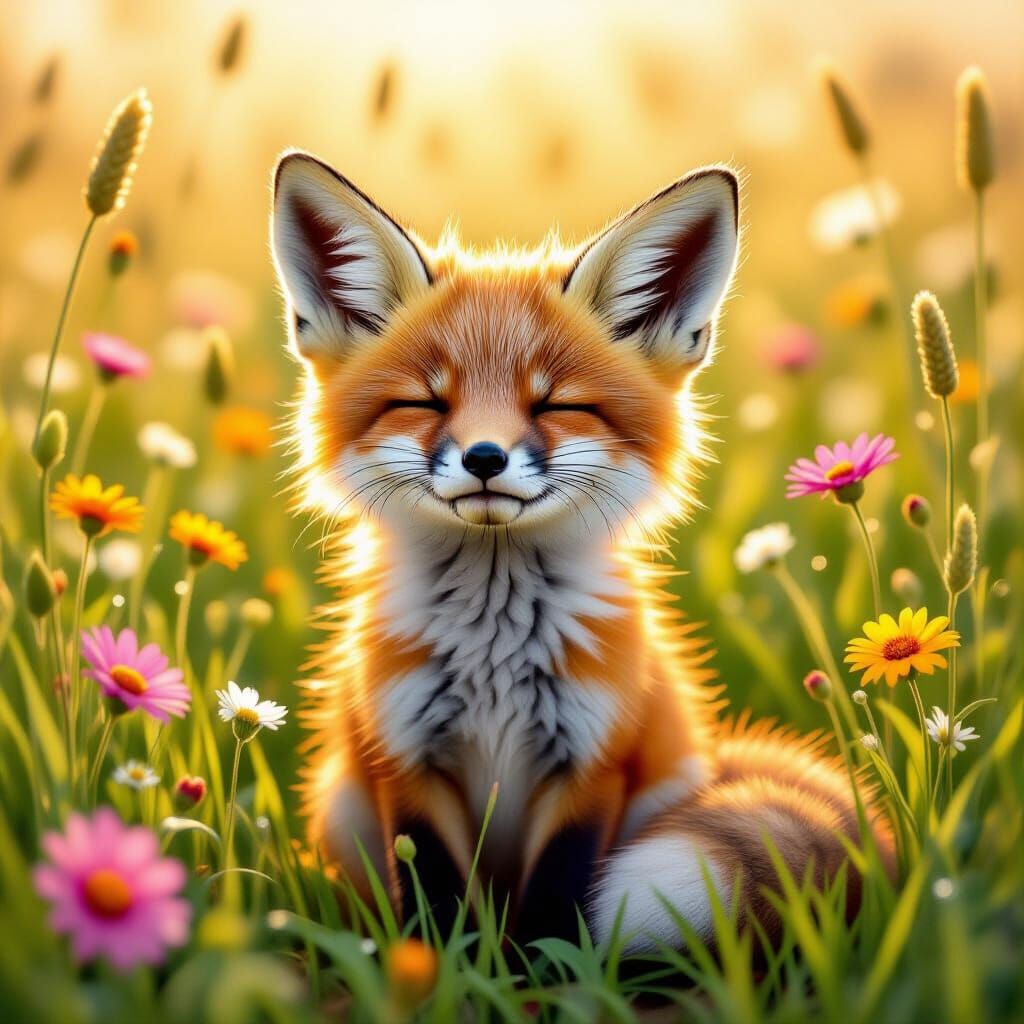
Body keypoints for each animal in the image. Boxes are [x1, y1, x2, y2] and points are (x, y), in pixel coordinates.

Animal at [269, 151, 893, 951]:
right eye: (425, 402)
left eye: (557, 405)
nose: (484, 457)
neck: (494, 655)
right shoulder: (407, 761)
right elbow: (437, 903)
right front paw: (445, 966)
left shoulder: (592, 766)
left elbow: (555, 902)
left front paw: (549, 966)